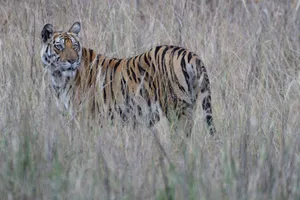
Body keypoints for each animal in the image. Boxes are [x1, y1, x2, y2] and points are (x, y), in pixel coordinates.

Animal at [41, 21, 217, 137]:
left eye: (75, 46)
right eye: (59, 47)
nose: (71, 61)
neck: (58, 77)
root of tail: (191, 54)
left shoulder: (84, 119)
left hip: (178, 110)